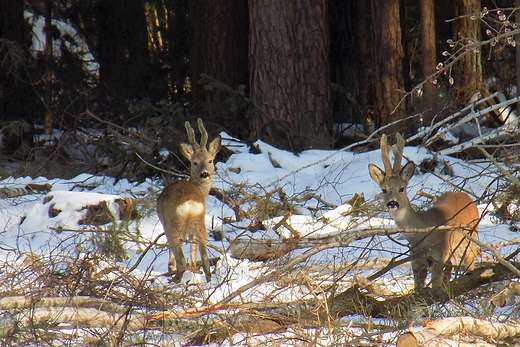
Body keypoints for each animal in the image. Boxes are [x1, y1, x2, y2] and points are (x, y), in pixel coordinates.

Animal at [154, 119, 219, 282]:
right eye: (195, 162)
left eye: (210, 160)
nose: (204, 174)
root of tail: (189, 202)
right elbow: (193, 246)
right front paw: (194, 267)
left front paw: (171, 268)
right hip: (199, 220)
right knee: (204, 255)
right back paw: (207, 280)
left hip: (173, 223)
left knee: (180, 257)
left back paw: (175, 278)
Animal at [368, 135, 478, 292]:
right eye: (384, 189)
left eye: (402, 188)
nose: (392, 203)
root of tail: (466, 196)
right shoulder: (416, 260)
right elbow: (418, 289)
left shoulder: (440, 255)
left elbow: (436, 287)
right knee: (451, 267)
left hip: (471, 238)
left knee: (470, 265)